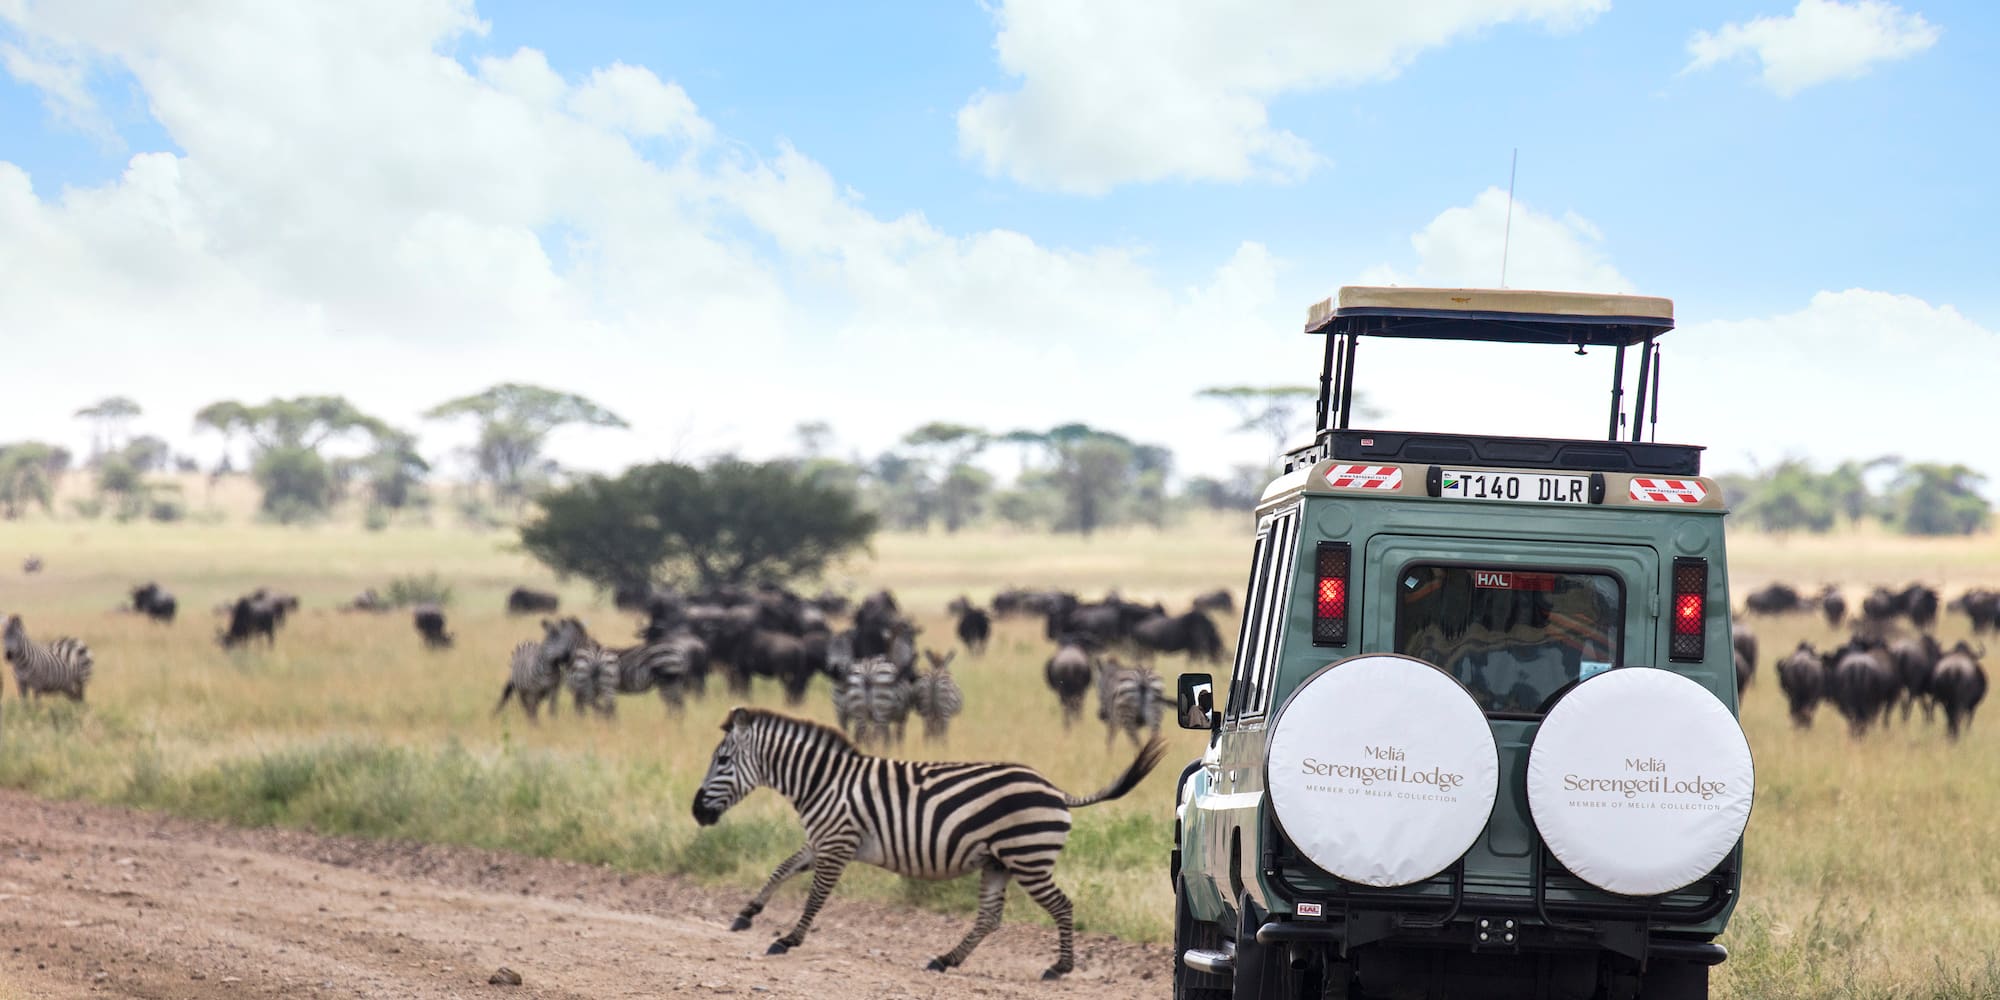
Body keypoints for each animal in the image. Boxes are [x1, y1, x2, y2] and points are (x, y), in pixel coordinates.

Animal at [694, 708, 1166, 978]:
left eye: (722, 760)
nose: (697, 812)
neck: (822, 782)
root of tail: (1056, 790)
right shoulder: (825, 841)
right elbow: (782, 867)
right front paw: (747, 914)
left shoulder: (838, 843)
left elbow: (815, 897)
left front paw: (788, 938)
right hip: (998, 862)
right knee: (989, 918)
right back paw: (946, 960)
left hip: (1027, 858)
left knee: (1062, 906)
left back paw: (1060, 967)